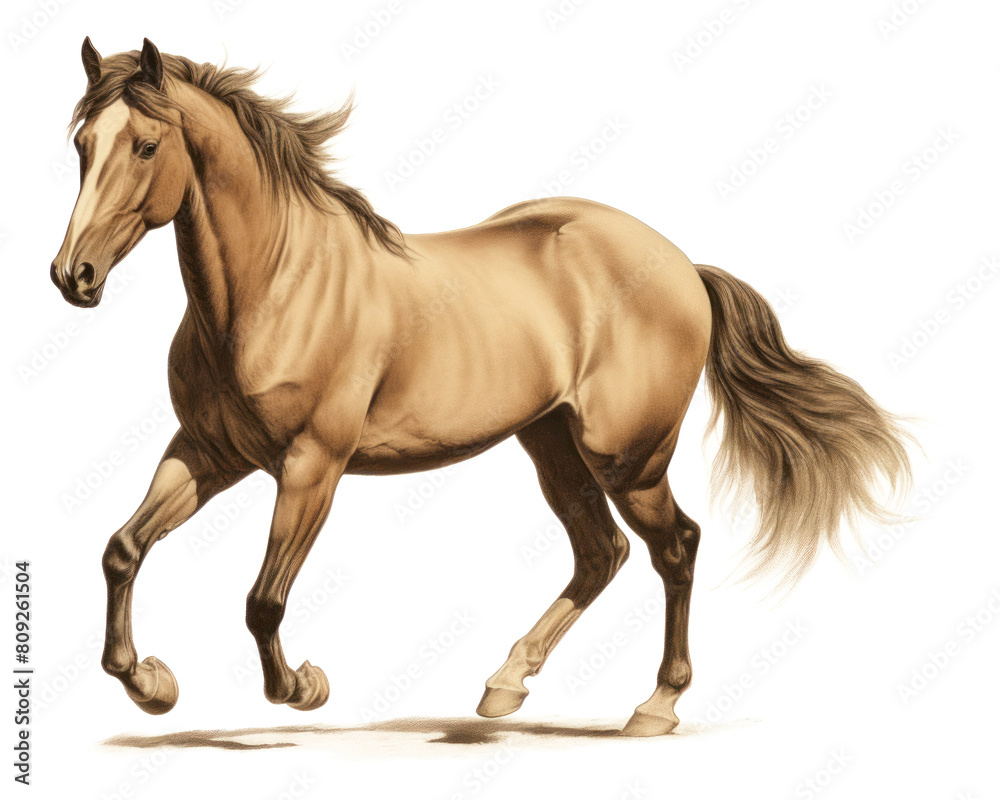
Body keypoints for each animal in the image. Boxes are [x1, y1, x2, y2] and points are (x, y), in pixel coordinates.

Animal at [50, 38, 912, 736]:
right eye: (83, 144)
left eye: (147, 145)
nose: (72, 277)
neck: (278, 285)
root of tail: (682, 267)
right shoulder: (209, 451)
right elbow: (123, 549)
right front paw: (152, 685)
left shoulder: (311, 465)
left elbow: (263, 598)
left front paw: (304, 688)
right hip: (551, 443)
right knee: (600, 554)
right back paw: (504, 686)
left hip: (628, 458)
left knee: (676, 546)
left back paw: (655, 708)